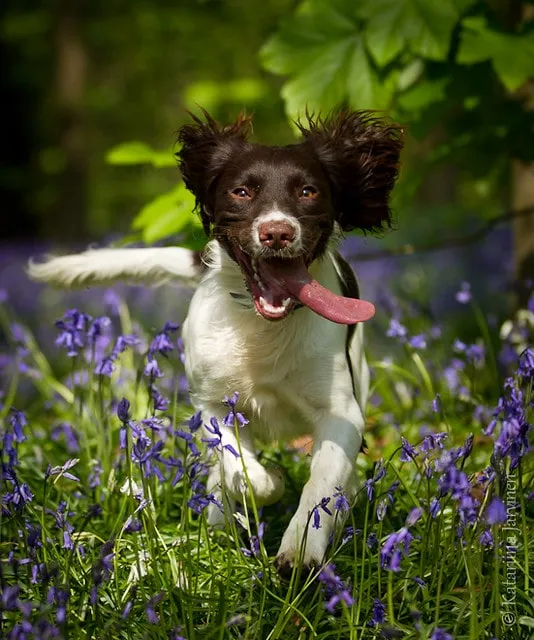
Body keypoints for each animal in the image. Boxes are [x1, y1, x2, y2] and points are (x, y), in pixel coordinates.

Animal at [29, 110, 404, 576]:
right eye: (241, 191)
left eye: (308, 191)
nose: (277, 233)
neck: (262, 328)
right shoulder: (211, 402)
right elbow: (243, 471)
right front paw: (267, 482)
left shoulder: (341, 411)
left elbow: (321, 484)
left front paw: (300, 551)